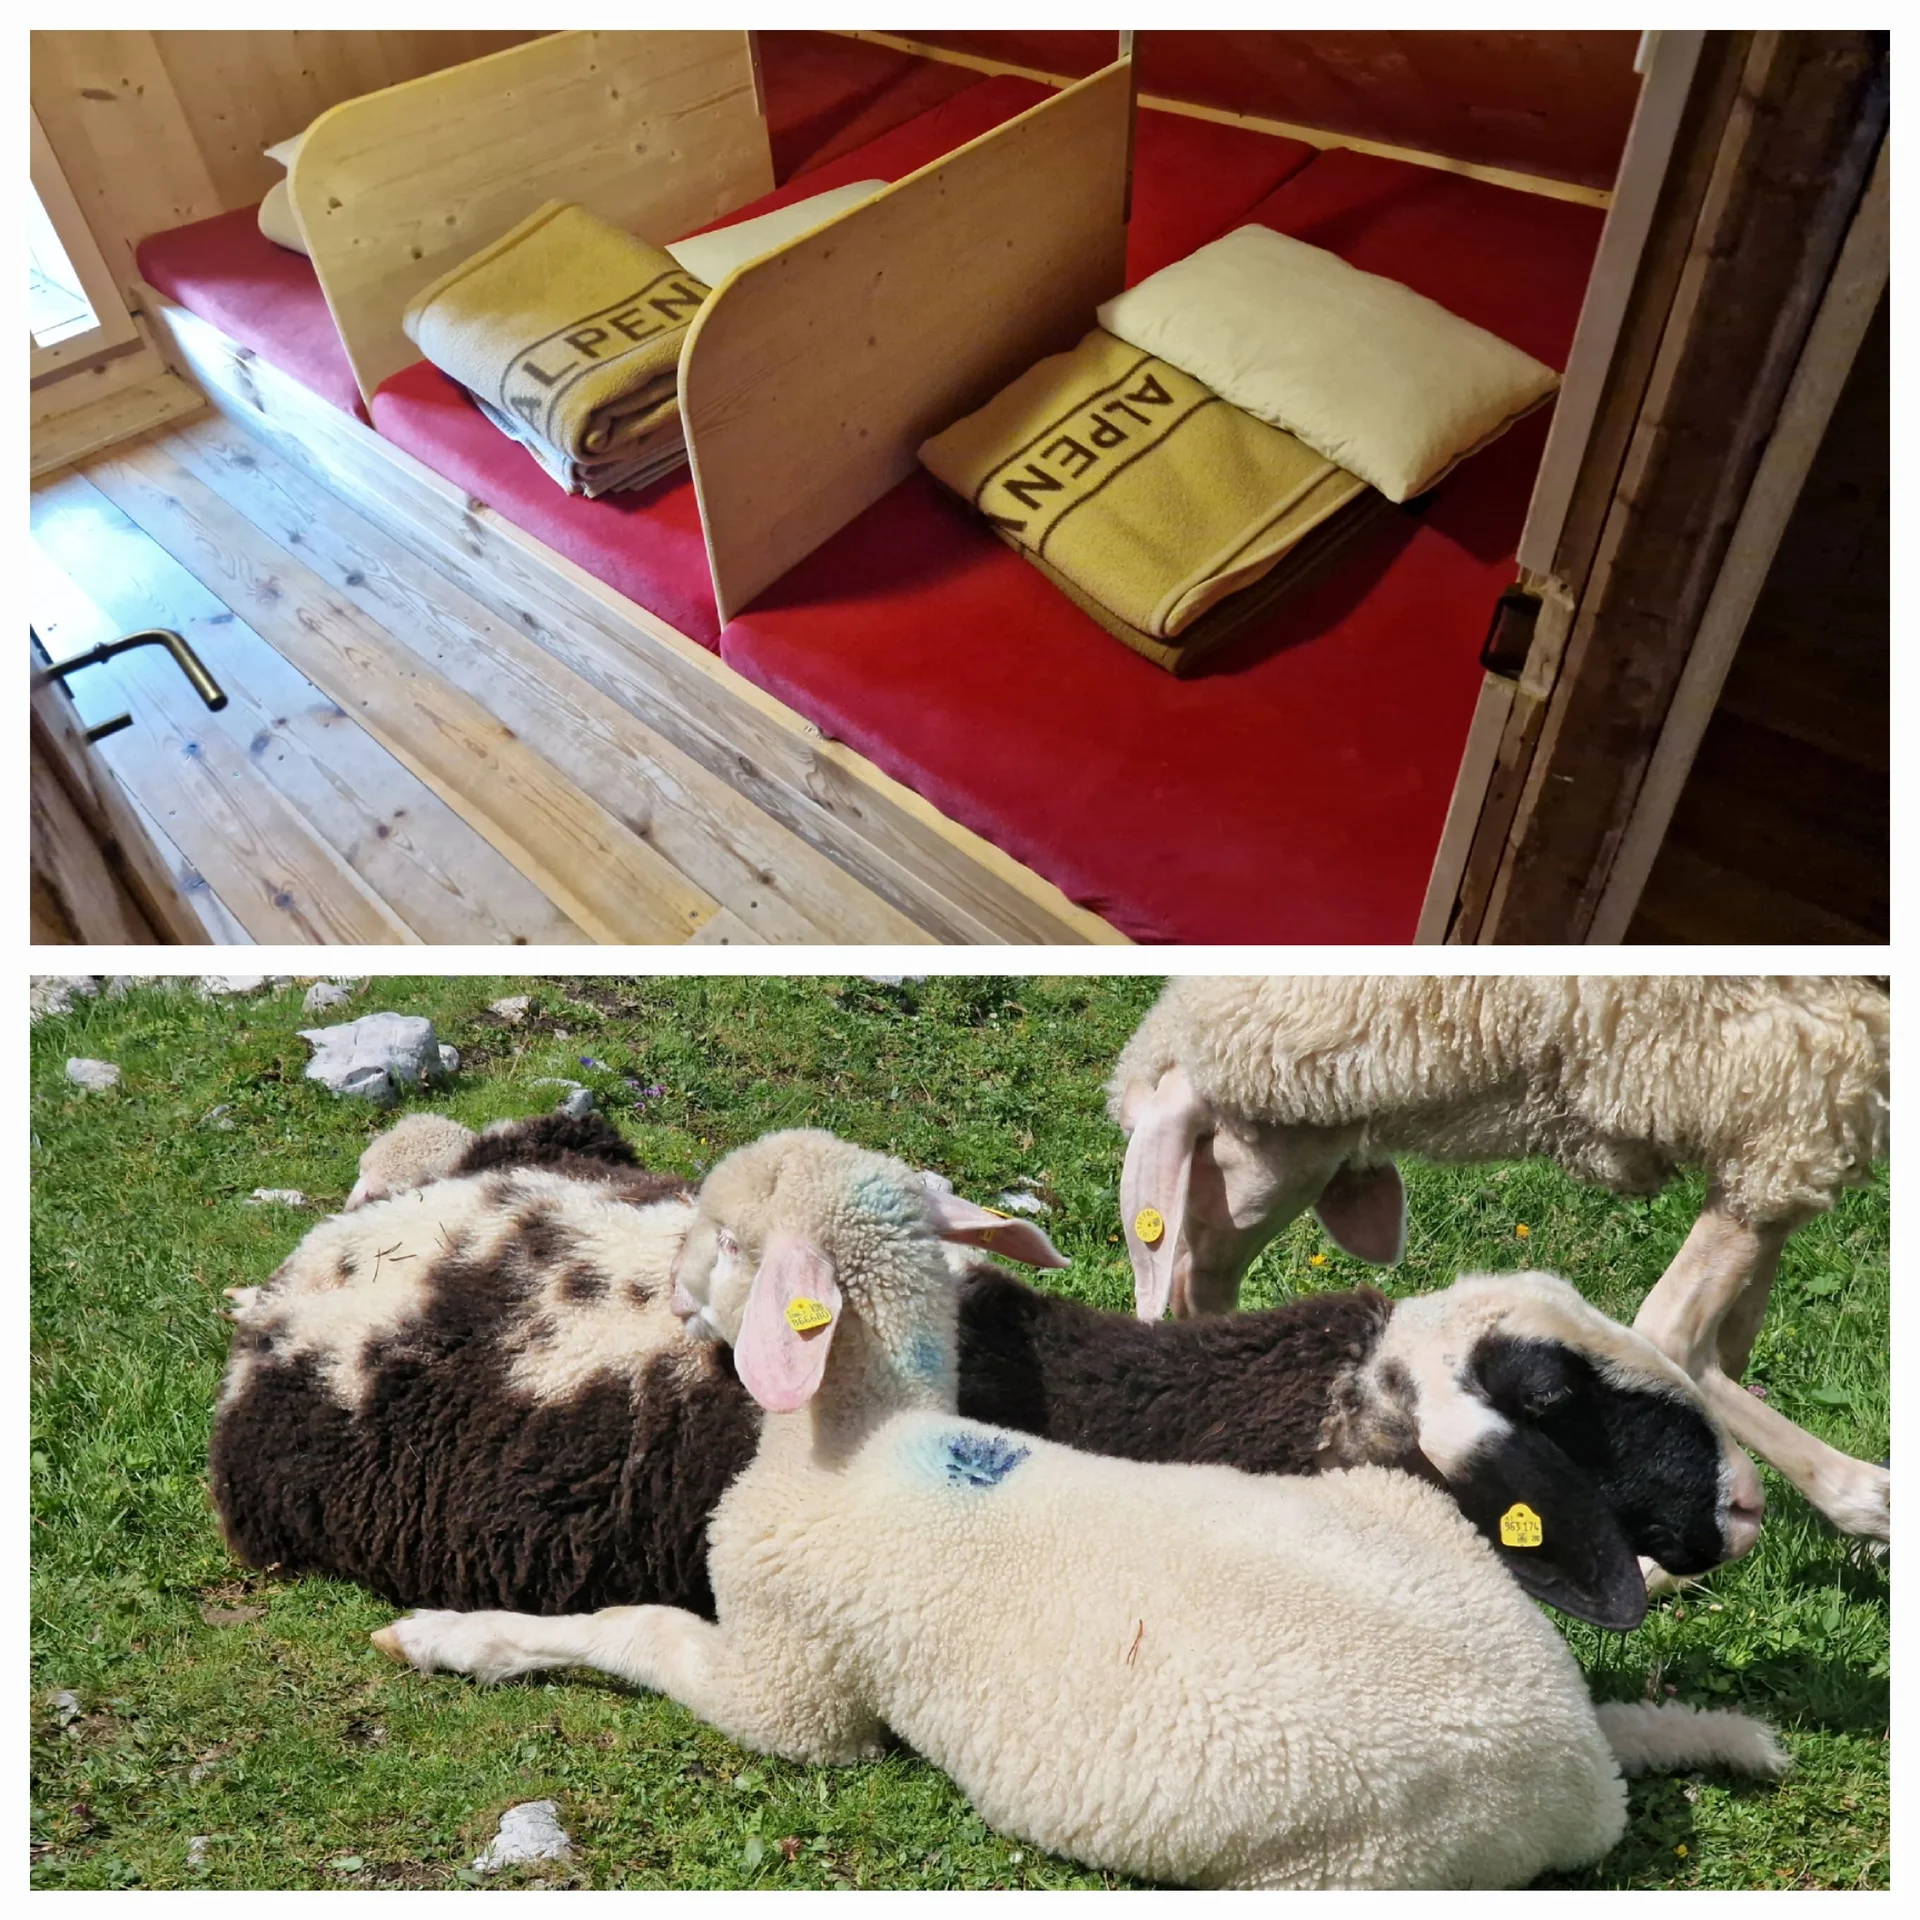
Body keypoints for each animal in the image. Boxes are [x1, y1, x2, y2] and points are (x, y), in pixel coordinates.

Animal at [369, 1130, 1787, 1891]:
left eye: (723, 1243)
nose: (1745, 1508)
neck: (866, 1438)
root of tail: (1581, 1772)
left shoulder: (791, 1689)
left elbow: (635, 1631)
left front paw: (456, 1636)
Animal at [1109, 975, 1890, 1541]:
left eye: (1210, 1150)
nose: (1191, 1312)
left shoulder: (1781, 1070)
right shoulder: (1776, 1071)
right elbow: (1675, 1333)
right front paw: (1865, 1500)